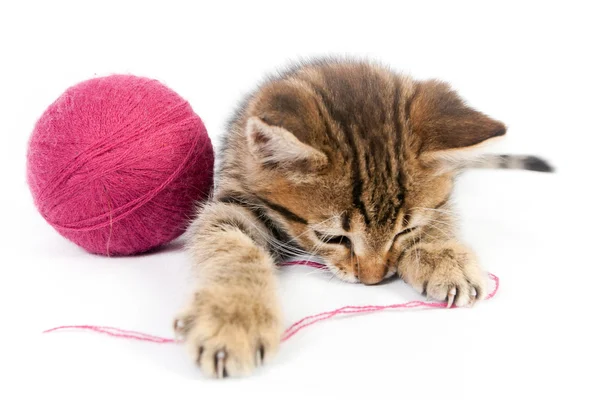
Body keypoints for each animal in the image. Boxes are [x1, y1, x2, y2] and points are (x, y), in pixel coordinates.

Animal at [173, 58, 552, 378]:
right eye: (332, 238)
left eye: (404, 231)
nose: (373, 280)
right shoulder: (234, 199)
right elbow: (231, 245)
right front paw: (233, 317)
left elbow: (438, 216)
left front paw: (443, 258)